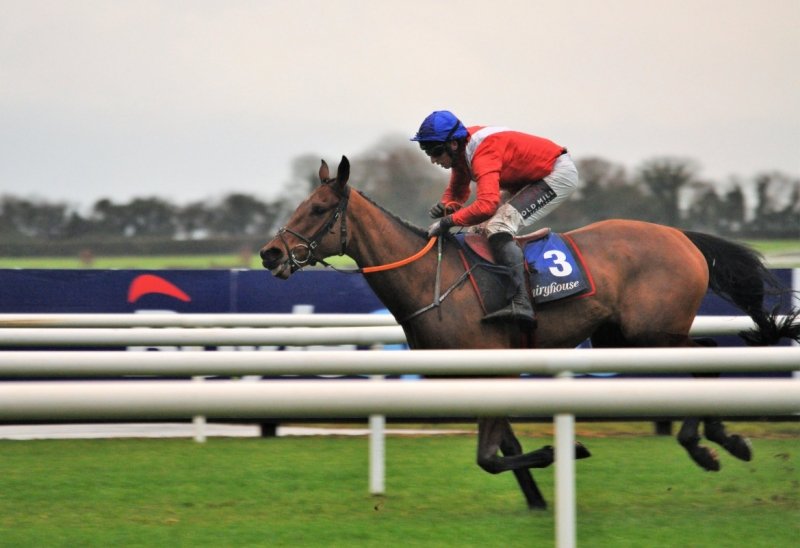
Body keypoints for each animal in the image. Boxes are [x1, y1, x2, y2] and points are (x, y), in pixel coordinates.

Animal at [259, 155, 800, 510]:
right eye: (301, 203)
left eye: (316, 209)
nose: (270, 253)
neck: (430, 279)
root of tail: (679, 235)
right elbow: (505, 451)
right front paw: (540, 497)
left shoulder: (492, 373)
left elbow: (489, 457)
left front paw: (567, 450)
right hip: (621, 338)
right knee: (701, 359)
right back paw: (721, 439)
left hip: (654, 332)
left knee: (705, 354)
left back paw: (707, 443)